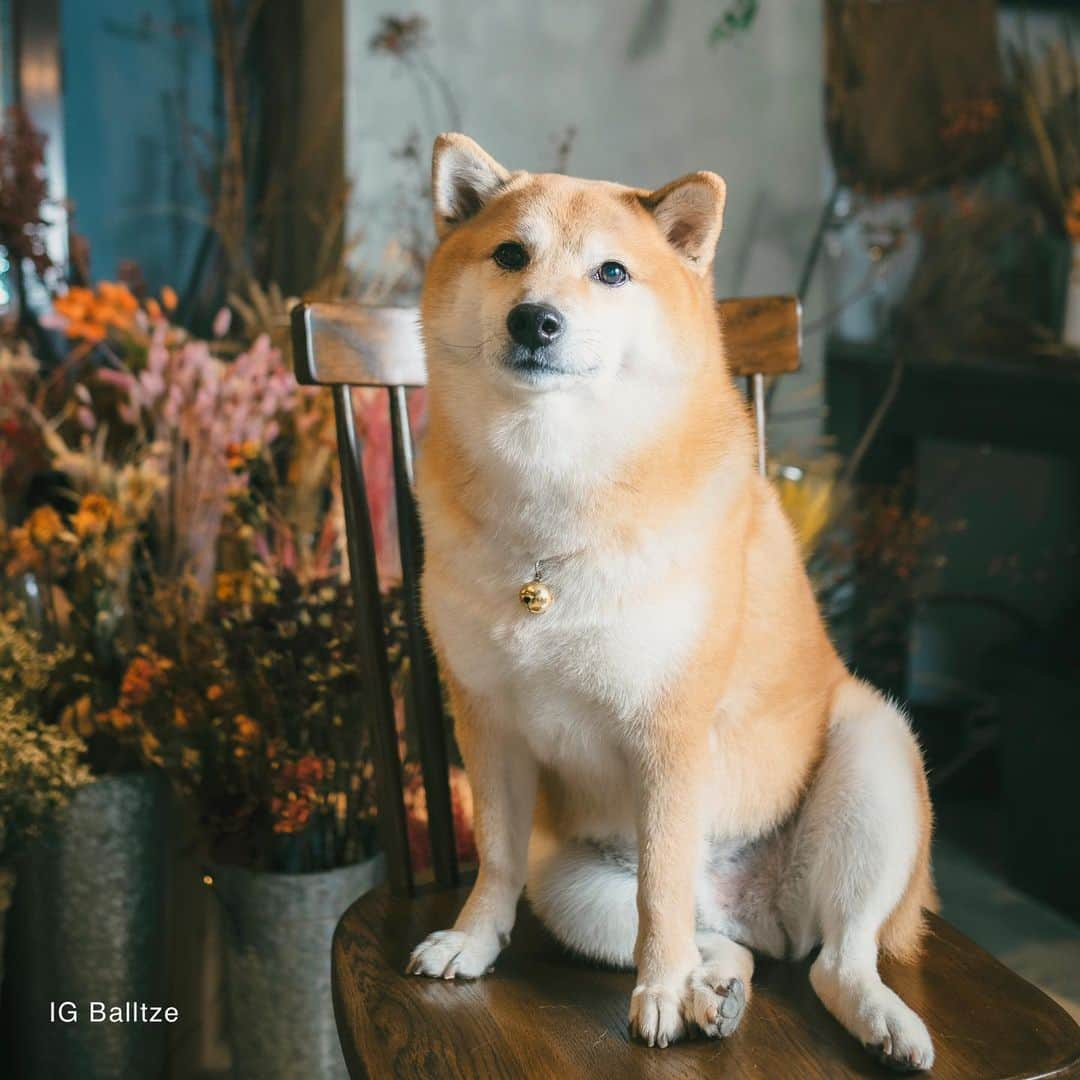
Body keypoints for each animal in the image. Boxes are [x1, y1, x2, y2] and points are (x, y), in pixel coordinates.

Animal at [406, 130, 937, 1067]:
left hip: (875, 756)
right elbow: (496, 860)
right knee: (725, 947)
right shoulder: (489, 724)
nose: (535, 320)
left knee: (834, 955)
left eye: (612, 272)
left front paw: (653, 996)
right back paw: (716, 991)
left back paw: (874, 1020)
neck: (554, 493)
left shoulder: (667, 733)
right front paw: (473, 940)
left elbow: (660, 893)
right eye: (510, 255)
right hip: (568, 882)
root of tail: (762, 911)